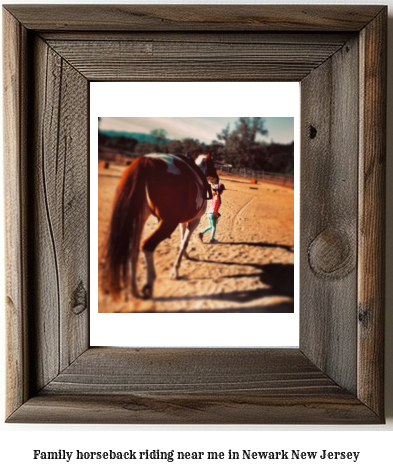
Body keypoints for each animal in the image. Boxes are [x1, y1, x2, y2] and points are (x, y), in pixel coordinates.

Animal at [103, 154, 217, 298]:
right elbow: (184, 242)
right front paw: (175, 271)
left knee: (132, 249)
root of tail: (146, 162)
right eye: (213, 164)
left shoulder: (183, 221)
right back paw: (149, 284)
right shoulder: (194, 220)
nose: (217, 178)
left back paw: (133, 288)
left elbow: (182, 240)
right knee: (147, 246)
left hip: (139, 219)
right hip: (168, 223)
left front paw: (185, 256)